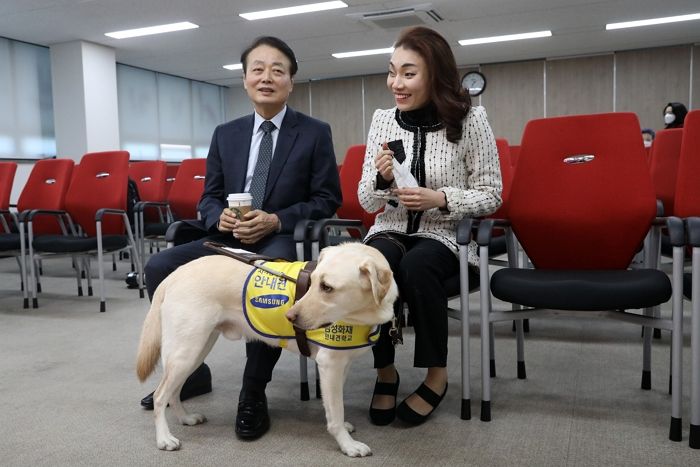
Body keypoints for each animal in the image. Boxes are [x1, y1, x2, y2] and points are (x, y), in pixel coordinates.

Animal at [137, 243, 396, 458]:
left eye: (327, 287)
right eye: (313, 282)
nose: (290, 316)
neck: (360, 315)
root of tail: (175, 274)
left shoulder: (342, 364)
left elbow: (335, 406)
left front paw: (345, 430)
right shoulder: (330, 364)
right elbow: (336, 412)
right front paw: (348, 445)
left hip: (197, 349)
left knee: (173, 391)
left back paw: (185, 418)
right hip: (187, 349)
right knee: (160, 395)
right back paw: (164, 439)